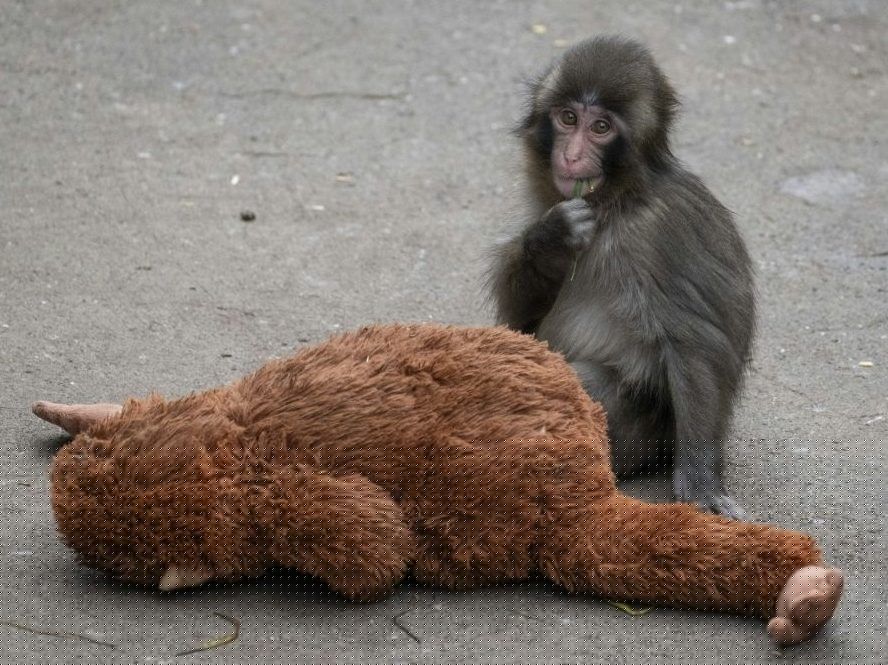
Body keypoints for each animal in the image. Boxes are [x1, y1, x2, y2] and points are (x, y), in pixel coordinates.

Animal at [488, 36, 755, 518]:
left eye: (600, 128)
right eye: (568, 118)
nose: (572, 155)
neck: (617, 203)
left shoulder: (662, 231)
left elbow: (695, 344)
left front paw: (701, 483)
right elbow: (520, 324)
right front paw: (552, 240)